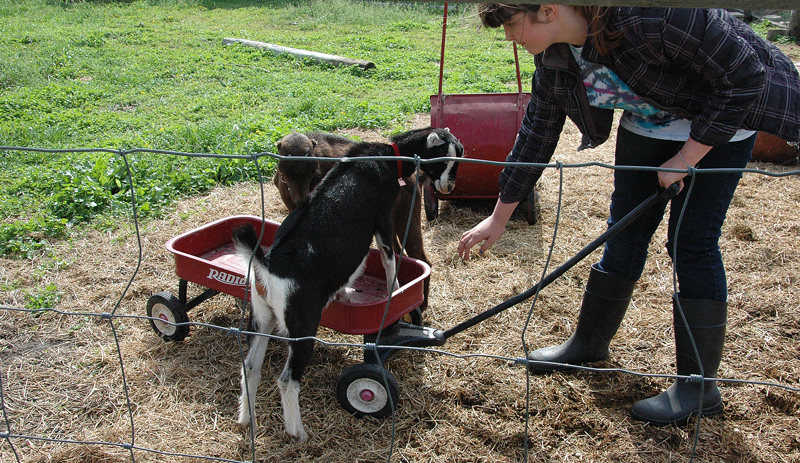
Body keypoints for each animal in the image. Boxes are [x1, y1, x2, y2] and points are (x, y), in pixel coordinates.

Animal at [273, 130, 433, 310]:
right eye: (284, 170)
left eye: (312, 168)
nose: (301, 199)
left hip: (404, 215)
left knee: (420, 257)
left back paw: (420, 304)